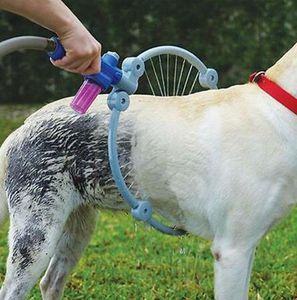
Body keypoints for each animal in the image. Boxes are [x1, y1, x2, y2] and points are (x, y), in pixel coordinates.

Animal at [0, 42, 296, 300]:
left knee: (50, 282)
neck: (277, 111)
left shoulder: (247, 246)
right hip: (37, 237)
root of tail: (22, 128)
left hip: (78, 226)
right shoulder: (232, 250)